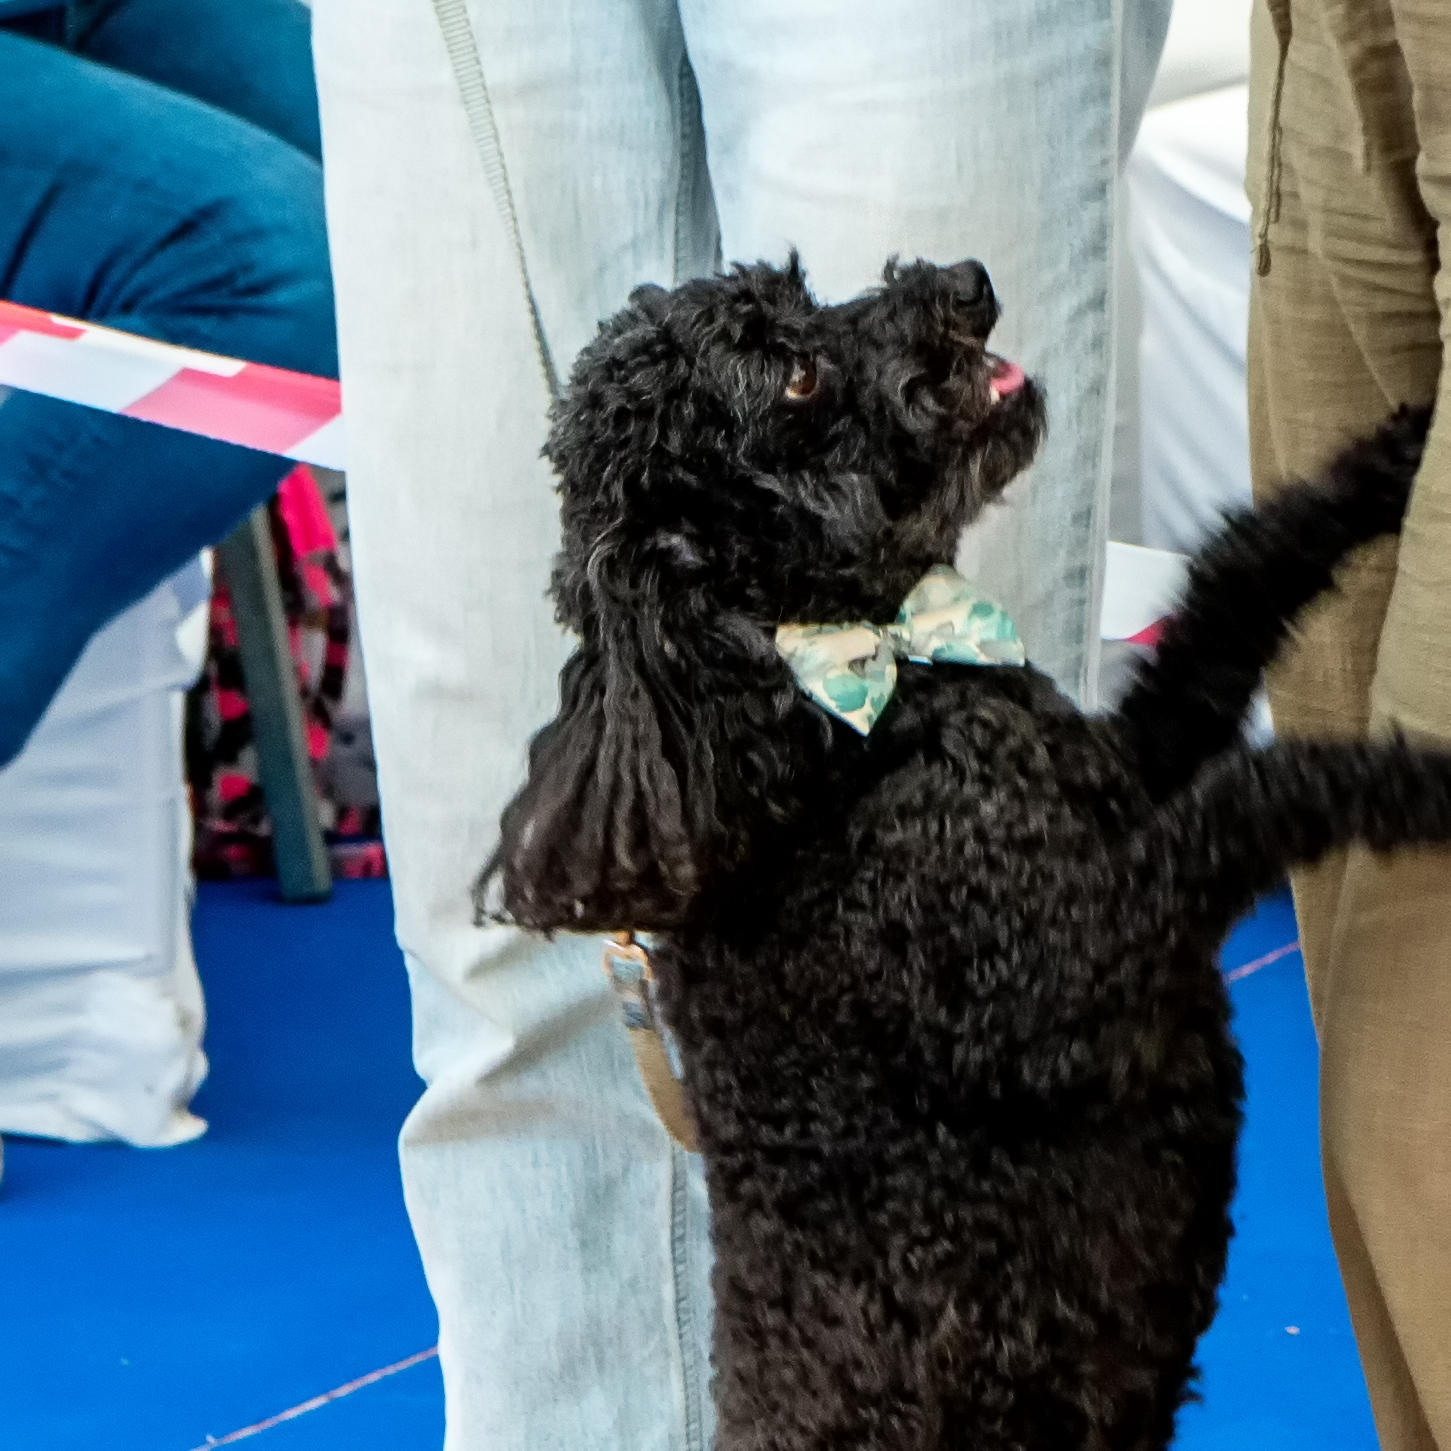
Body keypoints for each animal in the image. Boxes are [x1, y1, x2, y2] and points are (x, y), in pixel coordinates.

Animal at [481, 255, 1443, 1450]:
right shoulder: (1063, 991)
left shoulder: (1122, 771)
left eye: (802, 295)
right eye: (793, 376)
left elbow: (1236, 575)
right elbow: (1246, 798)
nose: (963, 282)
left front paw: (1392, 456)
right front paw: (1413, 776)